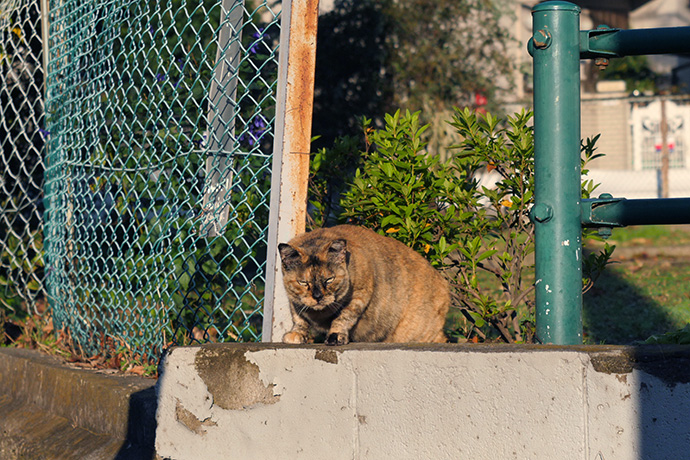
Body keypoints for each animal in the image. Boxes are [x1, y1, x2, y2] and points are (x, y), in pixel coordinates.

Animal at [276, 225, 448, 344]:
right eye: (303, 282)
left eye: (329, 279)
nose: (318, 296)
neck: (319, 315)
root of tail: (444, 283)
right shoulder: (294, 301)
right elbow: (298, 318)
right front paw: (296, 334)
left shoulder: (360, 293)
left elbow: (344, 317)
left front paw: (336, 335)